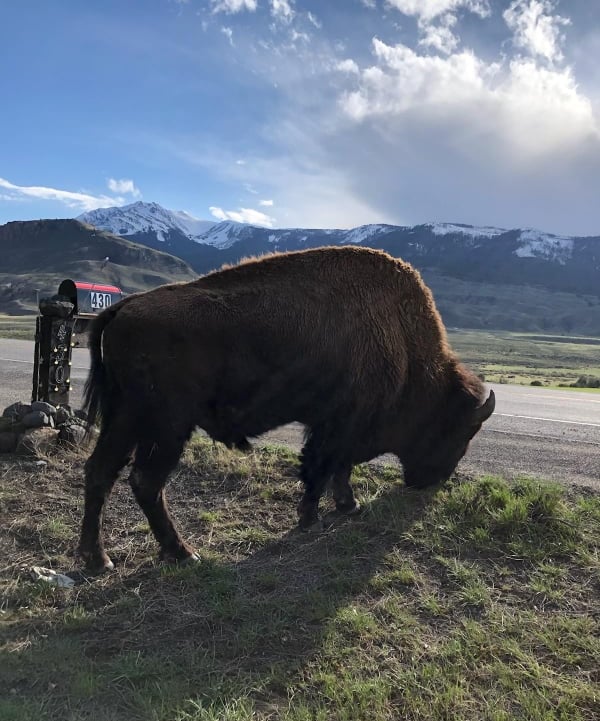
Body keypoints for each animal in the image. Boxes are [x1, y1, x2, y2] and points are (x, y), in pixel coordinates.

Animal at [79, 246, 494, 571]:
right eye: (457, 429)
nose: (433, 481)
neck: (403, 343)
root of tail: (123, 308)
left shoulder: (338, 426)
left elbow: (339, 468)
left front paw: (348, 506)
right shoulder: (339, 425)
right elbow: (322, 467)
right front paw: (312, 518)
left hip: (124, 418)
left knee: (102, 471)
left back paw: (98, 559)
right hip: (164, 425)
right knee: (145, 481)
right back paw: (184, 554)